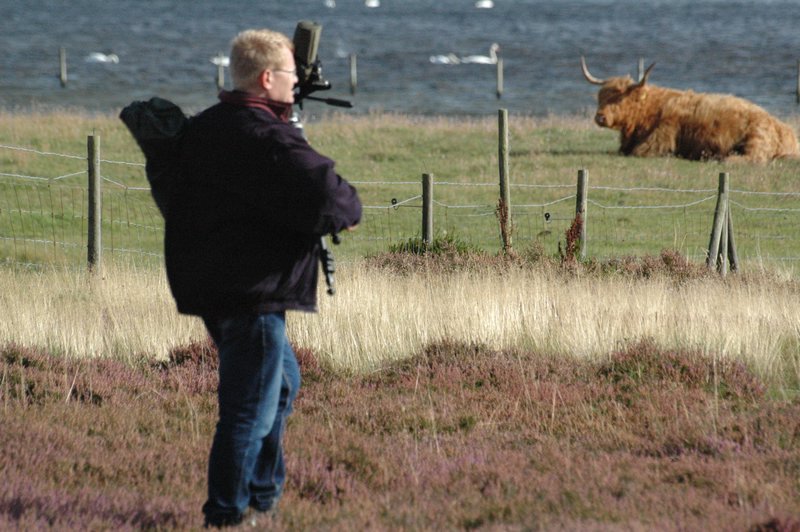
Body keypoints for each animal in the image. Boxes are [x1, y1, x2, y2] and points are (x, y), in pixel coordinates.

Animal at [580, 57, 800, 163]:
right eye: (601, 97)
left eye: (619, 99)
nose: (600, 117)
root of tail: (785, 130)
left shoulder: (658, 141)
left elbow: (637, 152)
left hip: (756, 139)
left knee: (753, 159)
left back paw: (721, 158)